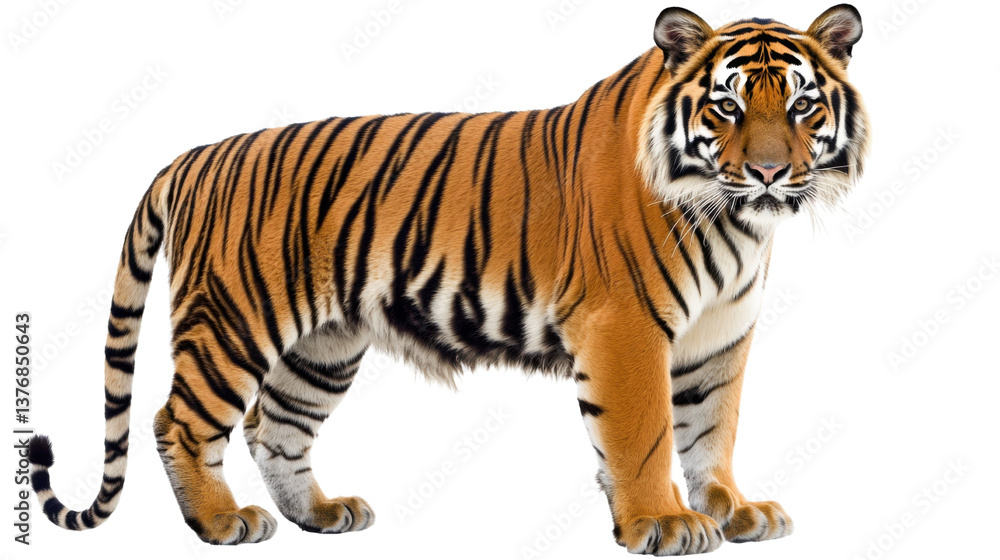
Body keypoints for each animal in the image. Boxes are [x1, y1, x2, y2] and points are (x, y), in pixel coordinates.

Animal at [28, 4, 869, 555]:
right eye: (726, 106)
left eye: (802, 104)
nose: (769, 172)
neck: (734, 220)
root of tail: (195, 154)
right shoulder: (626, 328)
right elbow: (646, 434)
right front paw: (661, 524)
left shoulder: (718, 338)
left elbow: (711, 431)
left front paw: (734, 510)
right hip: (234, 321)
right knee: (180, 420)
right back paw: (221, 523)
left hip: (322, 347)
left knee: (276, 427)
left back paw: (320, 514)